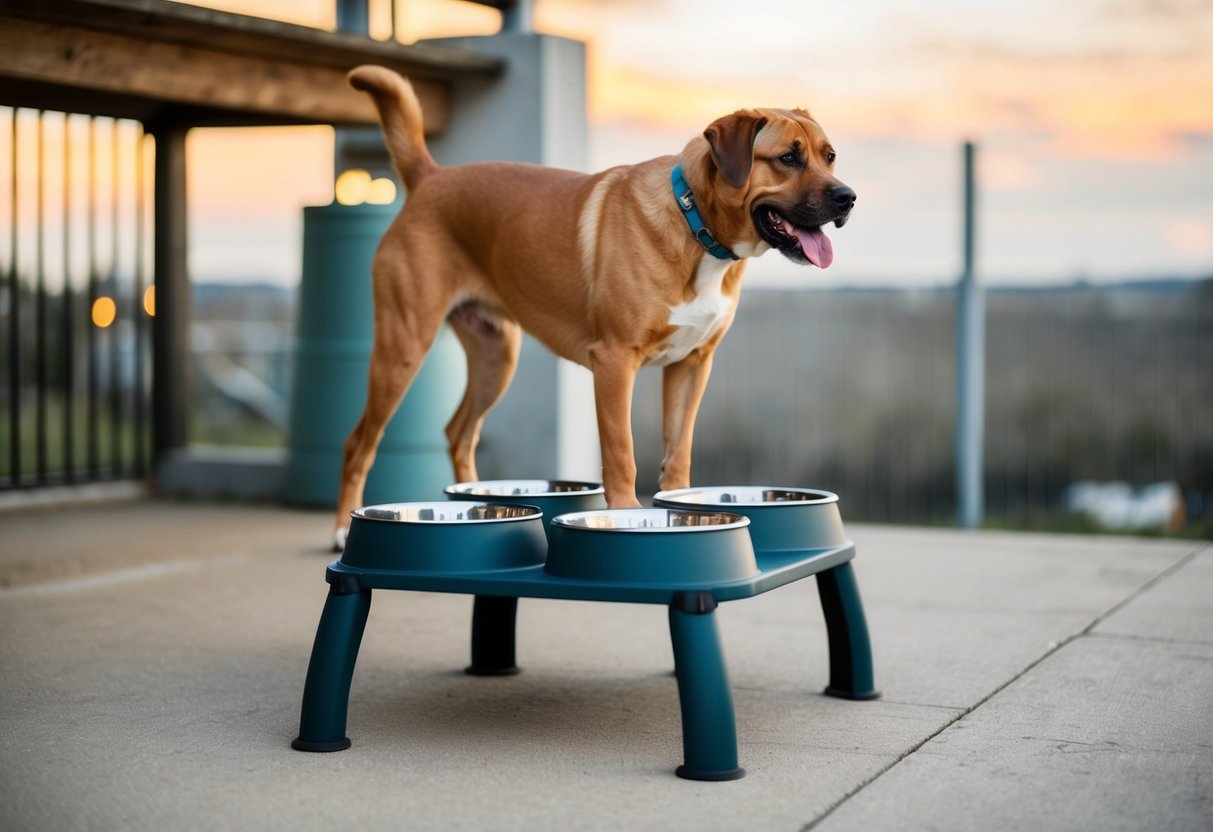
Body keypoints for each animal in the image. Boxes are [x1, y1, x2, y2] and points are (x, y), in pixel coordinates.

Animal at [334, 63, 853, 548]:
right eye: (788, 158)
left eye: (829, 157)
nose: (847, 197)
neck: (695, 226)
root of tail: (431, 178)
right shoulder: (614, 362)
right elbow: (621, 452)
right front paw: (624, 515)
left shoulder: (691, 365)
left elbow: (679, 451)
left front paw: (684, 509)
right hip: (403, 347)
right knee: (359, 443)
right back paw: (342, 528)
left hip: (495, 357)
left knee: (459, 433)